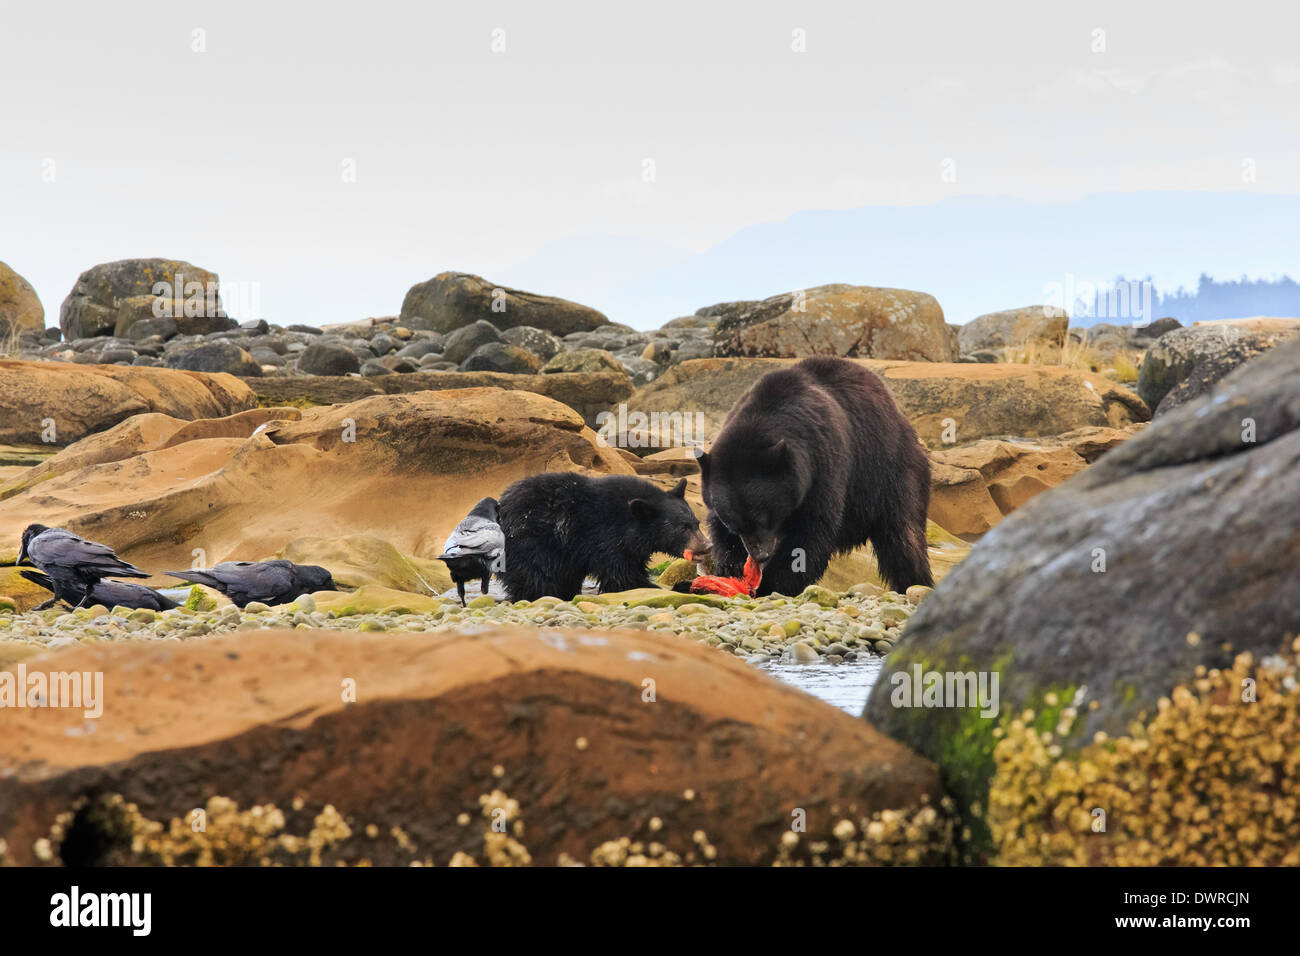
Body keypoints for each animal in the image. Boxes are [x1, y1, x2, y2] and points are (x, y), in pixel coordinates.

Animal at [496, 474, 710, 601]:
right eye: (682, 528)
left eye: (696, 523)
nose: (706, 546)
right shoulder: (606, 538)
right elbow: (623, 578)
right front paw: (680, 587)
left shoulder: (632, 548)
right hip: (530, 542)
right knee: (536, 577)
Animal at [699, 356, 933, 596]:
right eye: (735, 524)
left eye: (765, 517)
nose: (760, 555)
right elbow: (720, 531)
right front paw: (731, 570)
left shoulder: (822, 464)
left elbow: (810, 534)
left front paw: (772, 584)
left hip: (890, 473)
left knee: (904, 539)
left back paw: (915, 583)